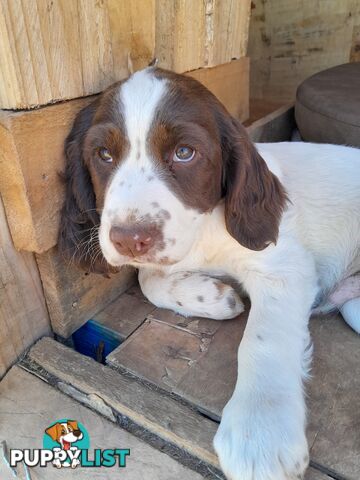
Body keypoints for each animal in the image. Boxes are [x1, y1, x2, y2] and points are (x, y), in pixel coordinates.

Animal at [59, 64, 360, 480]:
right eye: (103, 154)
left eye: (184, 153)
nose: (129, 240)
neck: (203, 232)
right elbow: (147, 279)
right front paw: (217, 298)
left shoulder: (284, 266)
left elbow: (263, 340)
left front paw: (259, 433)